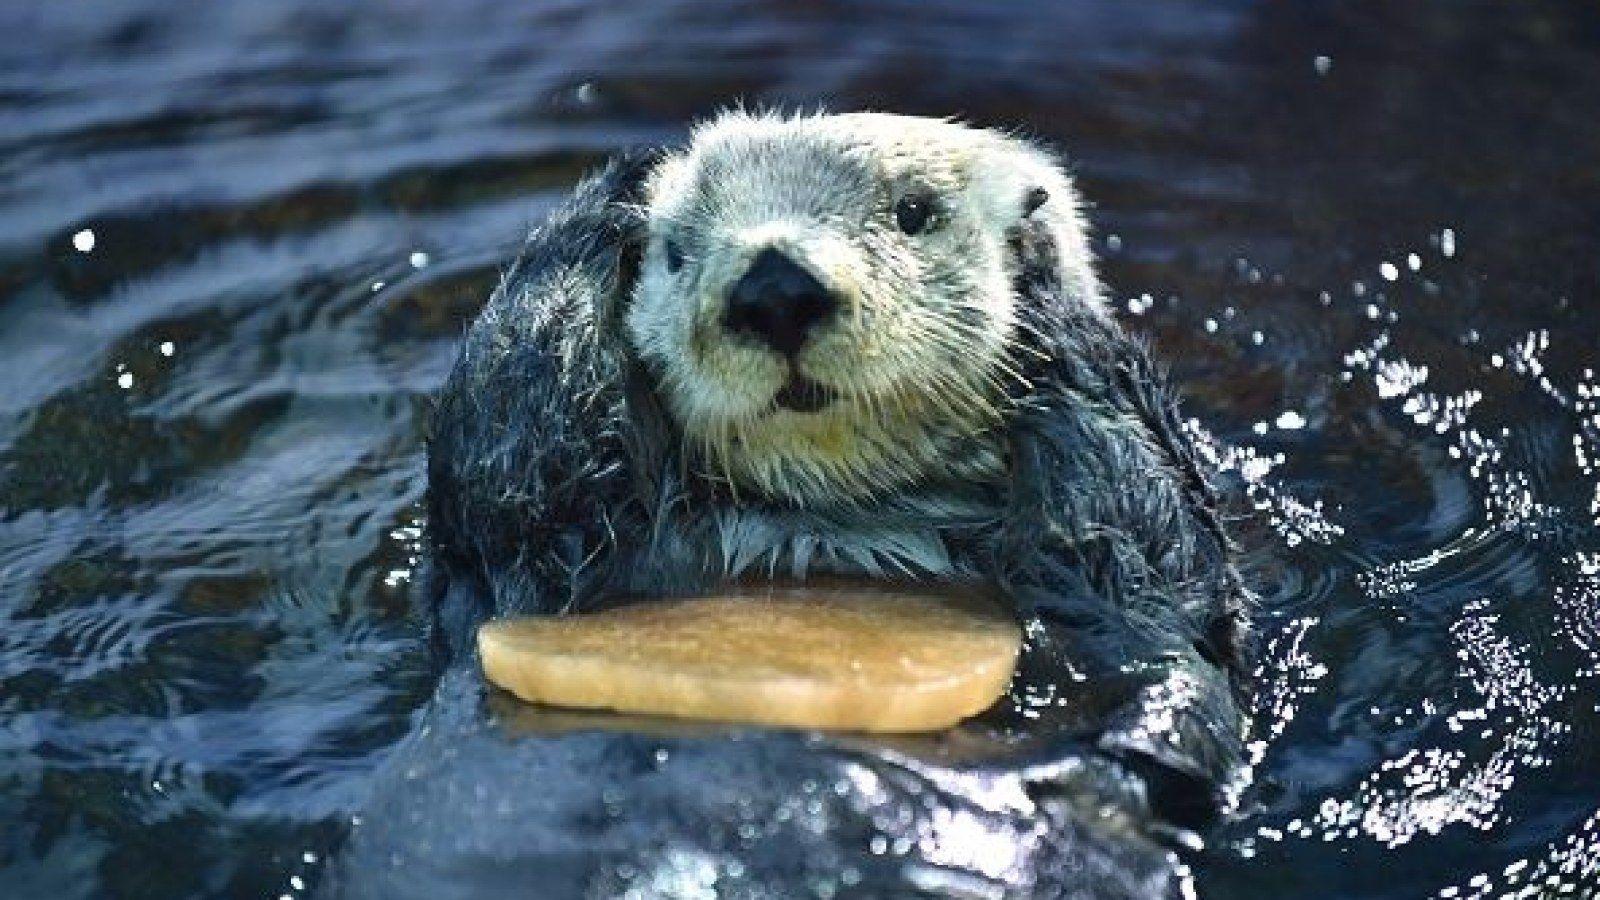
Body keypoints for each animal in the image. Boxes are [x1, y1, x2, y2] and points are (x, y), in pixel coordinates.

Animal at [339, 112, 1248, 899]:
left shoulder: (1131, 597)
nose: (774, 288)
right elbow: (506, 447)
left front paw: (1044, 284)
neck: (831, 526)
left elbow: (1155, 577)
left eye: (914, 212)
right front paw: (612, 193)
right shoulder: (521, 562)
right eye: (677, 252)